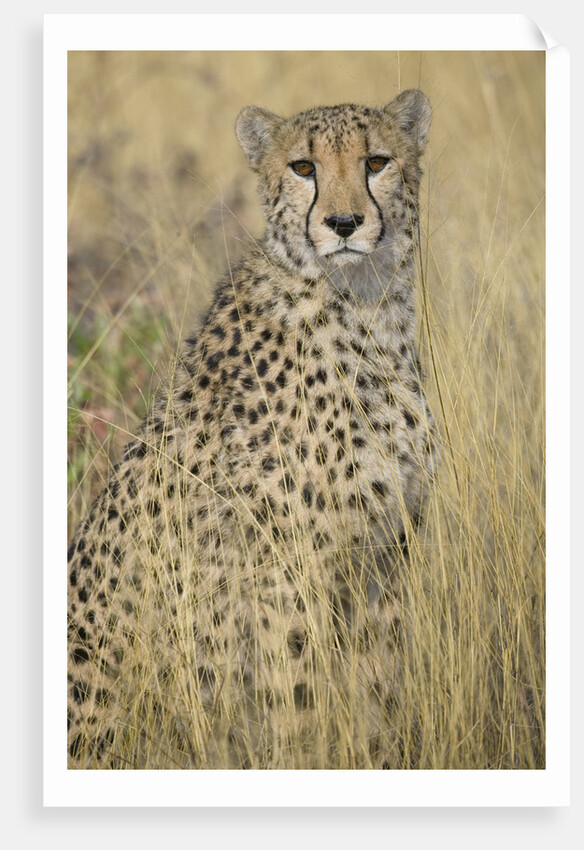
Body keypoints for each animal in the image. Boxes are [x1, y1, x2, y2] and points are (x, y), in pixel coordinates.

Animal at [67, 89, 437, 769]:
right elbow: (297, 706)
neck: (366, 311)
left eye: (376, 162)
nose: (344, 223)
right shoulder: (284, 578)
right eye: (303, 168)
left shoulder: (383, 560)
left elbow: (378, 703)